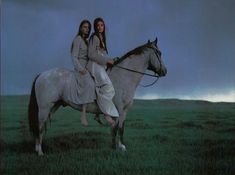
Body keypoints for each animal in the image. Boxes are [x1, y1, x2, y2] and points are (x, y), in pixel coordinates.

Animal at [28, 37, 167, 155]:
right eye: (159, 53)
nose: (164, 71)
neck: (123, 77)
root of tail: (41, 75)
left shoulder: (124, 110)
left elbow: (119, 128)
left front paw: (119, 146)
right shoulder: (119, 109)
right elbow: (117, 128)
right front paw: (117, 147)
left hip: (53, 106)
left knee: (40, 127)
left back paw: (37, 149)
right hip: (44, 108)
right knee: (39, 127)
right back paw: (40, 152)